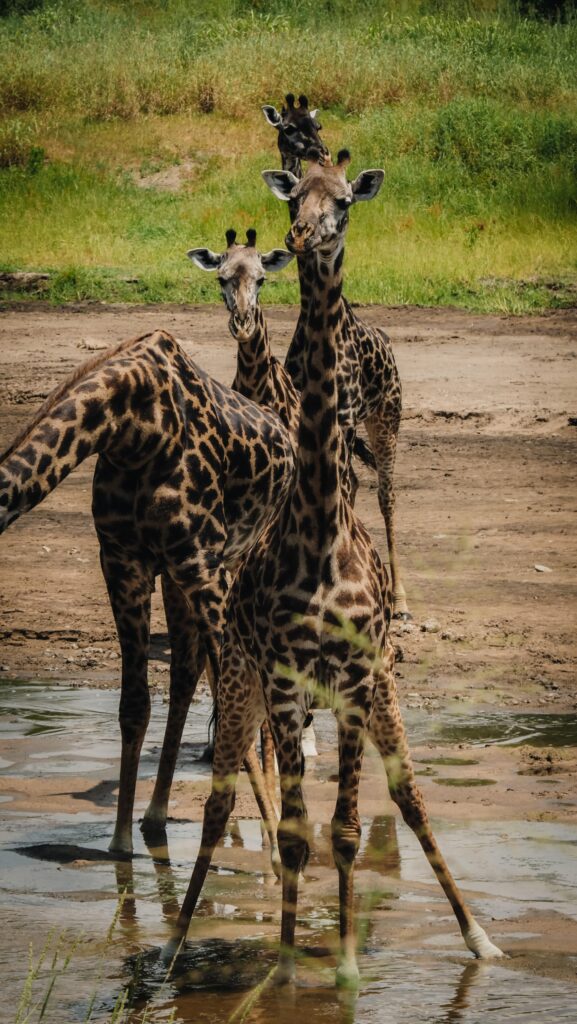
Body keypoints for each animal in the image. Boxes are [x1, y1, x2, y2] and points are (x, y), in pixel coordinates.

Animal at [0, 327, 293, 856]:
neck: (133, 427)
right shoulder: (124, 563)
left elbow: (235, 696)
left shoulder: (203, 564)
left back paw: (272, 818)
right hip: (178, 581)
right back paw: (156, 814)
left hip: (237, 563)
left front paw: (278, 843)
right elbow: (135, 704)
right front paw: (120, 845)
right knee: (186, 675)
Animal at [262, 92, 409, 614]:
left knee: (386, 491)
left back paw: (401, 595)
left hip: (386, 417)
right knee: (361, 485)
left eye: (344, 201)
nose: (300, 233)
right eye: (295, 196)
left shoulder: (344, 418)